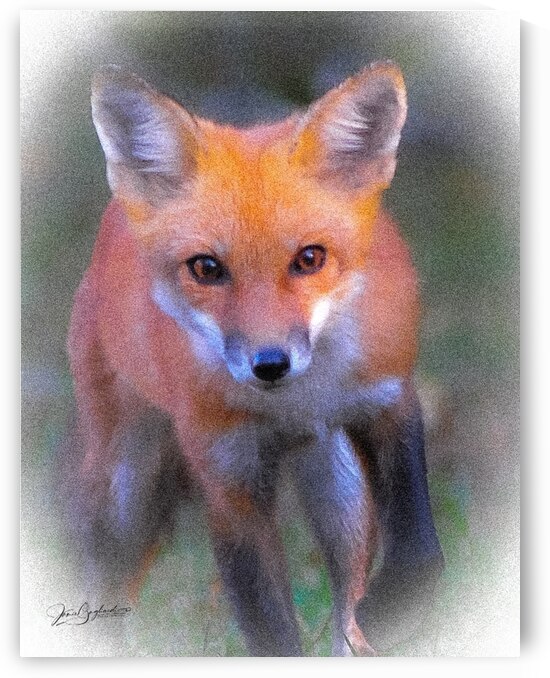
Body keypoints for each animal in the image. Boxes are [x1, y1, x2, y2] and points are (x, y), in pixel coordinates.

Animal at [64, 61, 444, 656]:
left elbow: (419, 548)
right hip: (130, 482)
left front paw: (395, 611)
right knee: (104, 564)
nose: (270, 364)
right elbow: (270, 629)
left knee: (346, 590)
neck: (298, 401)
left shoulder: (390, 401)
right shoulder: (229, 481)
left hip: (335, 479)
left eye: (310, 258)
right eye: (206, 268)